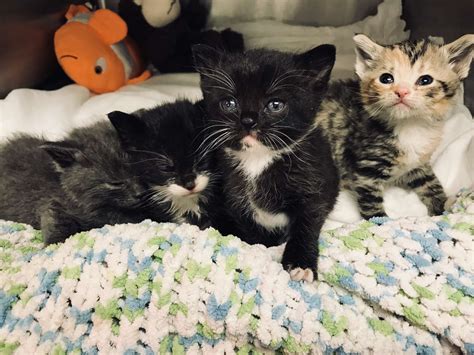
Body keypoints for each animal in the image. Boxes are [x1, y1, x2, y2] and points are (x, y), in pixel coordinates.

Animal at [193, 45, 340, 284]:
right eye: (229, 103)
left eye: (275, 105)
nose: (248, 121)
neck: (258, 159)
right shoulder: (234, 198)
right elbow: (251, 231)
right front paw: (261, 247)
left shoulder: (313, 182)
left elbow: (307, 223)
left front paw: (301, 264)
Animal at [314, 35, 474, 220]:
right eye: (386, 78)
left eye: (425, 80)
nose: (401, 91)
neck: (410, 125)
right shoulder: (366, 169)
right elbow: (370, 201)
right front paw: (380, 221)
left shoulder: (418, 162)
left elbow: (430, 183)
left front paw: (443, 208)